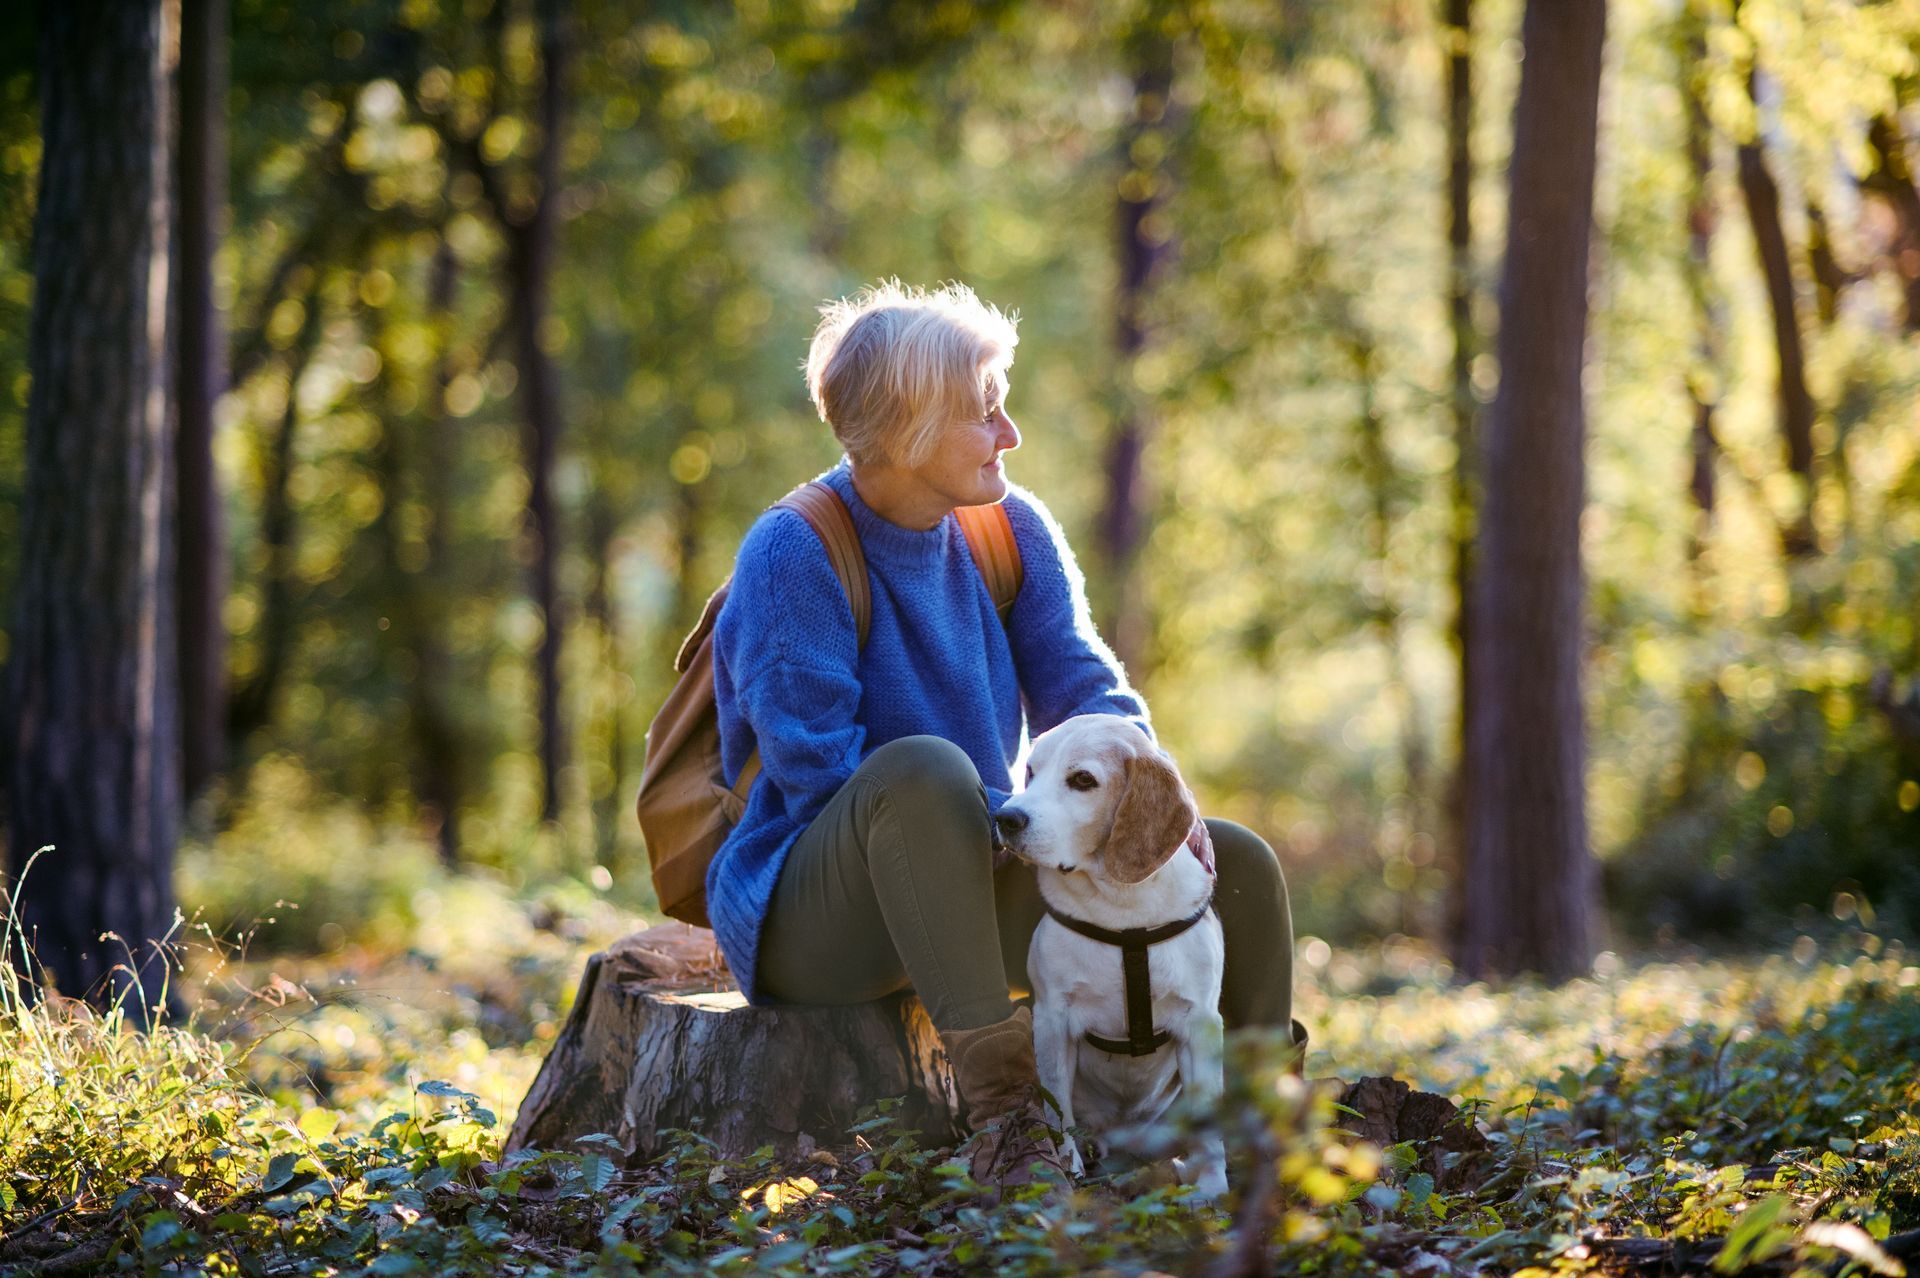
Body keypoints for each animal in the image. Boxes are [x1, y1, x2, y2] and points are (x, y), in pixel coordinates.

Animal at [990, 706, 1228, 1197]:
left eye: (1083, 780)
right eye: (1031, 771)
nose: (1006, 818)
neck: (1123, 910)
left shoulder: (1200, 1023)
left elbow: (1208, 1124)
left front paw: (1215, 1188)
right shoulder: (1053, 1020)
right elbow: (1057, 1109)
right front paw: (1067, 1167)